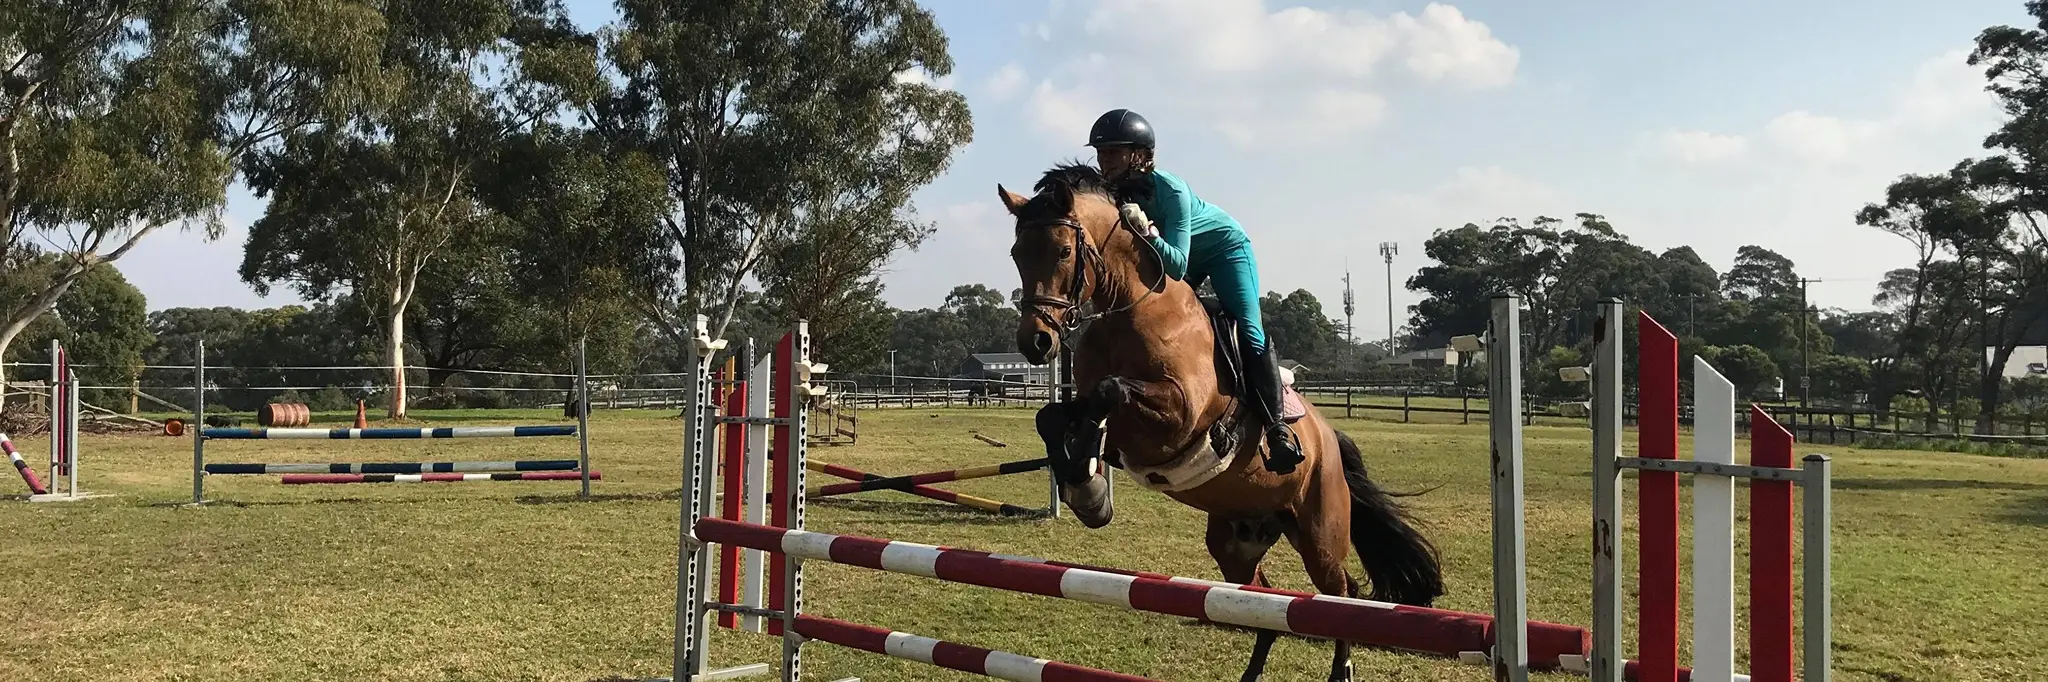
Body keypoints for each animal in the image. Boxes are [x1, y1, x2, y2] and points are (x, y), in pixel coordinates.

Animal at [995, 163, 1445, 682]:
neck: (1131, 307)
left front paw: (1090, 488)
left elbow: (1111, 392)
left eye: (1064, 251)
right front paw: (1086, 489)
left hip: (1320, 531)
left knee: (1339, 593)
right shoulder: (1098, 411)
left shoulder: (1178, 417)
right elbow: (1053, 415)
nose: (1036, 344)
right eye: (1017, 254)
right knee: (1262, 605)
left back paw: (1340, 671)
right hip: (1236, 541)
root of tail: (1330, 439)